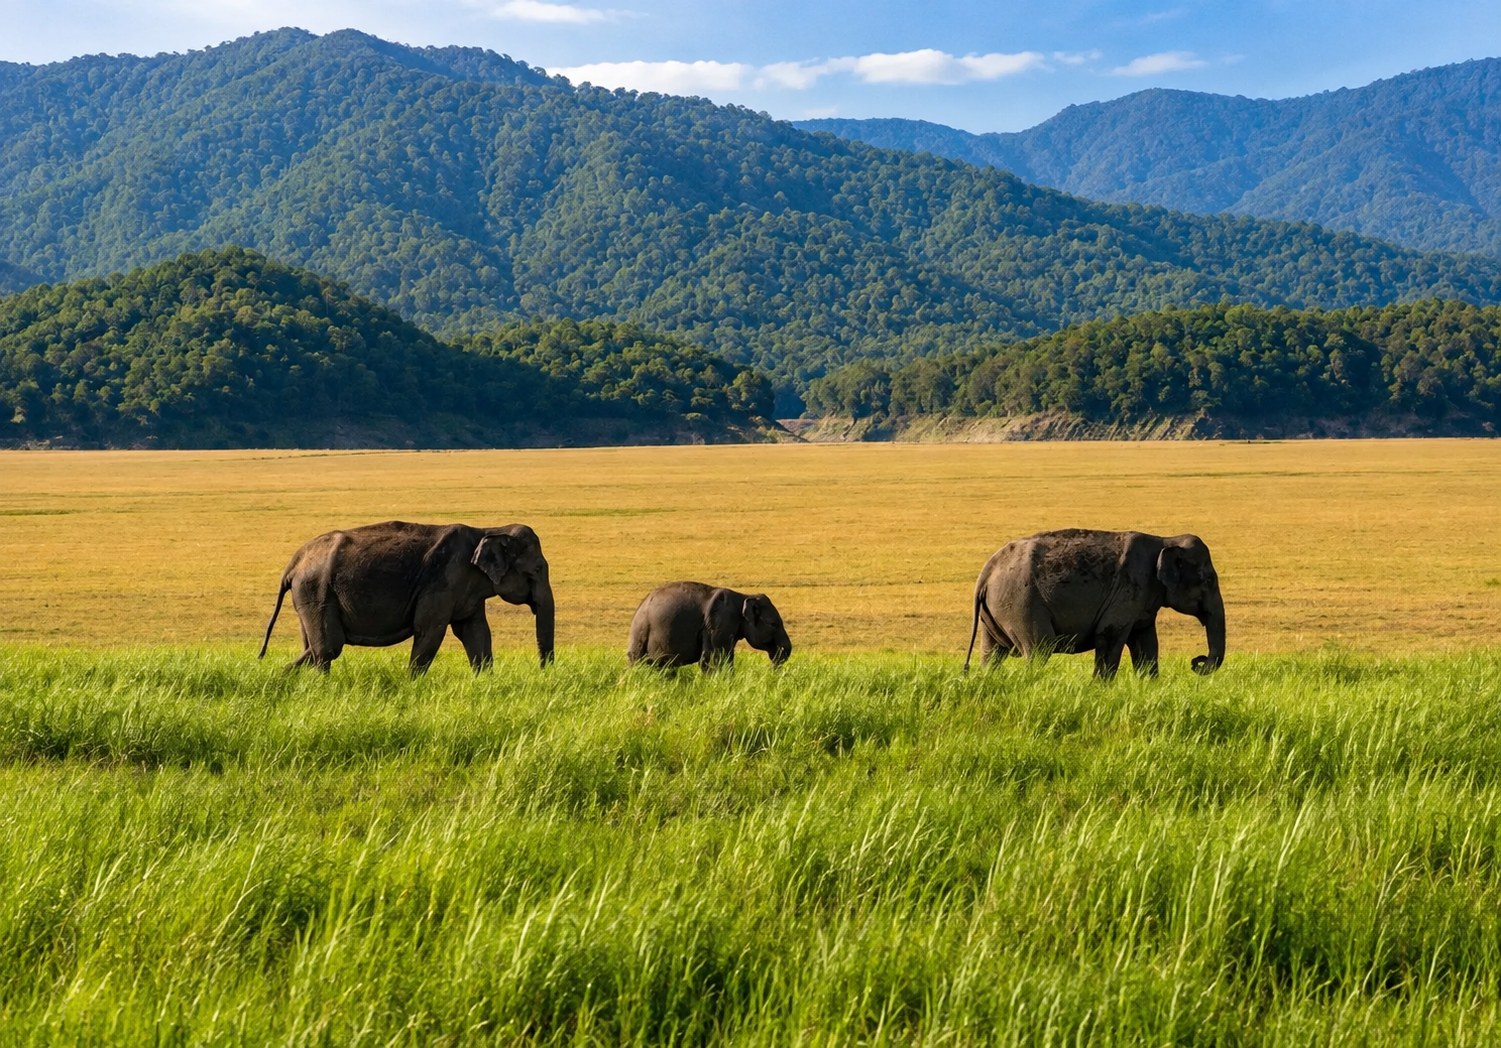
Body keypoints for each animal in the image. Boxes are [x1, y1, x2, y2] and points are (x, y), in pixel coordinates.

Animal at [258, 520, 554, 673]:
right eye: (537, 569)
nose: (543, 673)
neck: (489, 528)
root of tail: (295, 560)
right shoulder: (442, 583)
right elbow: (429, 632)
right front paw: (412, 684)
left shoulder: (467, 590)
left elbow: (476, 633)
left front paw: (484, 681)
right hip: (317, 590)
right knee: (329, 647)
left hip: (309, 594)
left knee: (315, 645)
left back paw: (282, 677)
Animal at [627, 582, 792, 671]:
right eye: (773, 624)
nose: (772, 670)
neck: (743, 596)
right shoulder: (718, 624)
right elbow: (715, 658)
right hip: (640, 632)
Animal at [964, 529, 1225, 678]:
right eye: (1209, 580)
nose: (1197, 662)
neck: (1165, 539)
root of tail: (987, 571)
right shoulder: (1128, 590)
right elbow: (1109, 636)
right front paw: (1100, 688)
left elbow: (1146, 644)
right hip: (1021, 603)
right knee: (1040, 648)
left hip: (997, 610)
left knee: (992, 653)